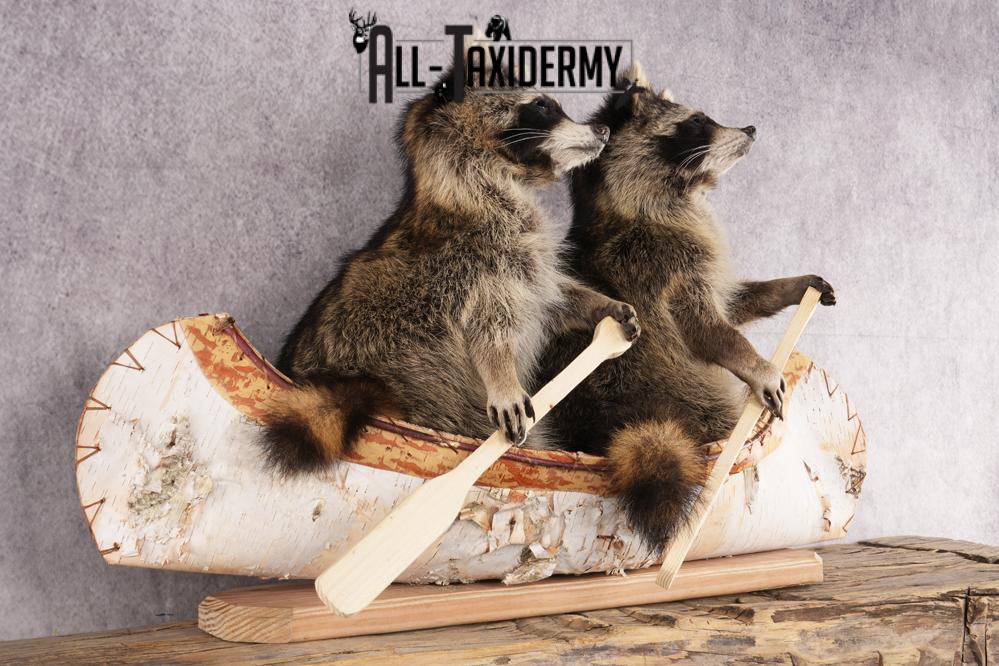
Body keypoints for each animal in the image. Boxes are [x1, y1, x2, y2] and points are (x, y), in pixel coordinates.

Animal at [261, 71, 639, 475]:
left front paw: (600, 304)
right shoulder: (477, 265)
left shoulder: (523, 260)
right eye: (542, 106)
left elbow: (551, 295)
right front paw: (502, 376)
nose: (603, 129)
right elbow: (489, 330)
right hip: (429, 389)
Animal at [539, 62, 835, 550]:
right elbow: (710, 331)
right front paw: (753, 361)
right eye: (697, 122)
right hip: (677, 391)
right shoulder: (658, 263)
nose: (750, 128)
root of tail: (608, 423)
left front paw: (790, 287)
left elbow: (736, 303)